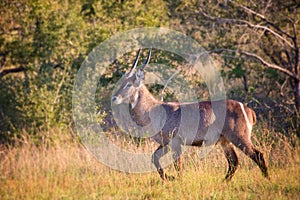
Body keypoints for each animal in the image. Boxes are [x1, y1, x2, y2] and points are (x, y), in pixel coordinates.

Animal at [110, 48, 270, 181]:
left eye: (129, 84)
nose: (114, 98)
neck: (154, 110)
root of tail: (248, 110)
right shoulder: (165, 143)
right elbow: (154, 158)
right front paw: (168, 178)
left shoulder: (175, 142)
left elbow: (178, 165)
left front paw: (178, 180)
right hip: (225, 141)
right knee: (234, 162)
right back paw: (224, 182)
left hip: (239, 137)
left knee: (257, 155)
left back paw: (267, 180)